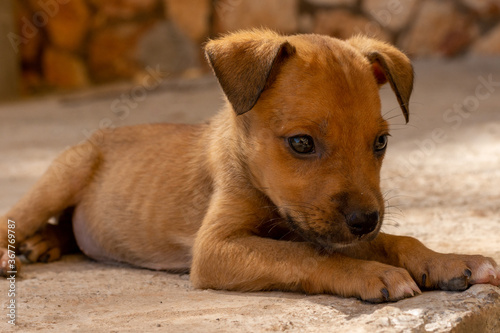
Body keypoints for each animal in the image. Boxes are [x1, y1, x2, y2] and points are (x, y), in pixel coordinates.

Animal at [0, 30, 500, 300]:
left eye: (380, 142)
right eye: (301, 143)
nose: (364, 220)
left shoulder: (319, 225)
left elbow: (396, 240)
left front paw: (451, 261)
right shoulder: (217, 247)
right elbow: (304, 254)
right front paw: (371, 273)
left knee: (66, 227)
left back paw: (43, 243)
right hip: (63, 175)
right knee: (19, 215)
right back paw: (17, 252)